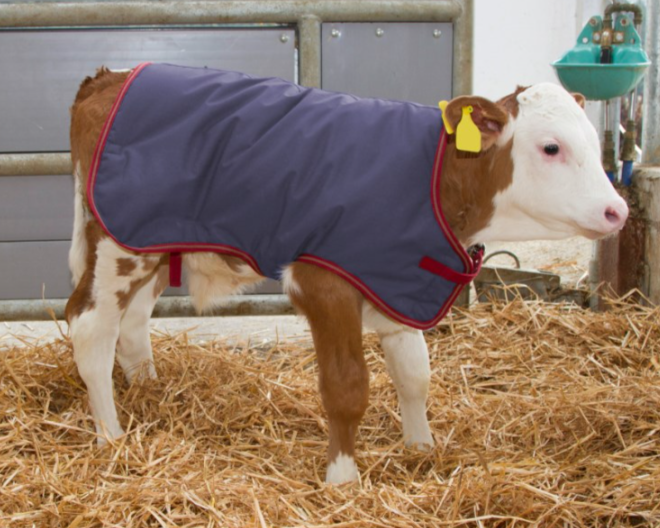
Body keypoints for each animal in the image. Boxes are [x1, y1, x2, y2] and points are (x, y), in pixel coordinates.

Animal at [66, 64, 628, 485]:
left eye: (595, 144)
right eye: (551, 147)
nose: (617, 211)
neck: (434, 177)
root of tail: (109, 77)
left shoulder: (398, 280)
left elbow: (415, 376)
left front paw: (421, 450)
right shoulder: (323, 278)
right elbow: (346, 387)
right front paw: (343, 479)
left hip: (155, 242)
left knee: (132, 322)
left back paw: (149, 393)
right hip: (117, 241)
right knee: (90, 325)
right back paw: (111, 437)